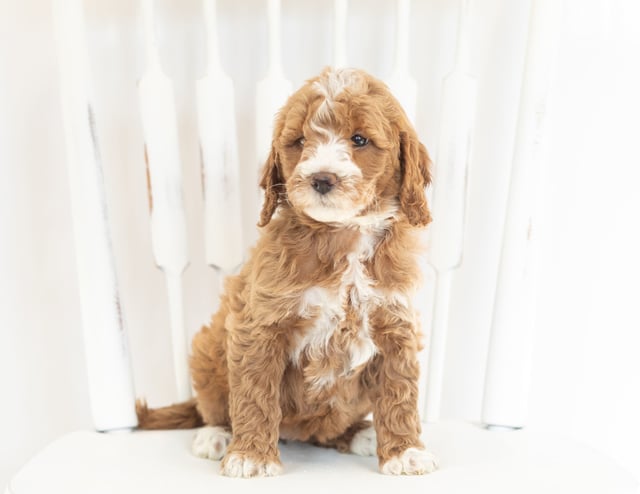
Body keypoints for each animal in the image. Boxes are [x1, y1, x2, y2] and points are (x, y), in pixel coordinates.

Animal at [139, 66, 440, 478]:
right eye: (298, 141)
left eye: (359, 139)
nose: (322, 179)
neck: (342, 237)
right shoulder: (260, 325)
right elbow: (254, 393)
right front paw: (250, 456)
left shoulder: (396, 324)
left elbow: (399, 391)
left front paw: (405, 452)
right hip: (207, 349)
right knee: (213, 405)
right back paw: (216, 435)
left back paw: (359, 433)